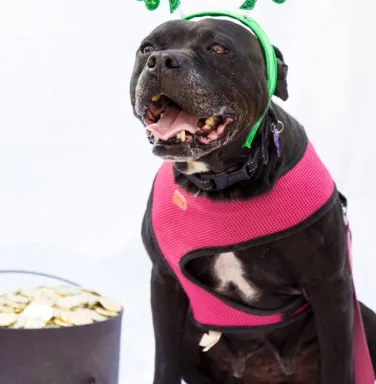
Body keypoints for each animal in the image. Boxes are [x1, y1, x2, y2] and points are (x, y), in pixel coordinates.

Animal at [131, 18, 376, 384]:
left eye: (219, 48)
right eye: (147, 48)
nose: (161, 60)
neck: (222, 184)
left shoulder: (331, 287)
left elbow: (339, 364)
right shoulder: (164, 284)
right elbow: (165, 364)